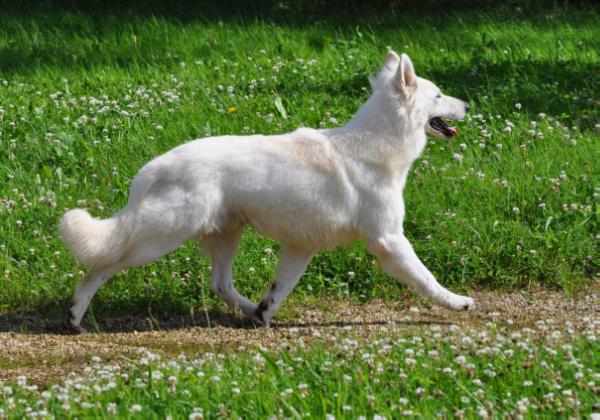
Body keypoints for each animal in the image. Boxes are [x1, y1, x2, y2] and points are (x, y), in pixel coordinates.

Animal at [61, 50, 474, 330]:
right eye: (439, 95)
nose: (469, 105)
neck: (378, 143)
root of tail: (153, 167)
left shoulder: (301, 247)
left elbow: (280, 287)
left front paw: (265, 313)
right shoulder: (389, 240)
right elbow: (426, 278)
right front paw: (457, 302)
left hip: (225, 235)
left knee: (220, 284)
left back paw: (249, 310)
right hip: (161, 237)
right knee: (104, 264)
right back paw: (77, 312)